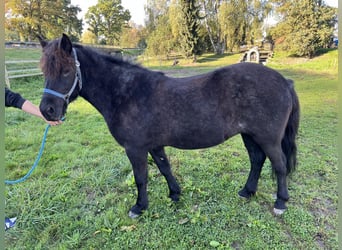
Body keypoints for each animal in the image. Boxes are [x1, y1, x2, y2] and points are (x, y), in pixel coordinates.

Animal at [38, 34, 298, 218]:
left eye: (66, 70)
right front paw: (175, 193)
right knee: (257, 160)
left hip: (268, 138)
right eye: (44, 71)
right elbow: (165, 168)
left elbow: (141, 178)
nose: (47, 110)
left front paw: (139, 207)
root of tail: (284, 81)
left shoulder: (135, 149)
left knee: (279, 165)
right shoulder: (154, 145)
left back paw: (280, 202)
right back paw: (247, 192)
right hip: (249, 135)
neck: (126, 93)